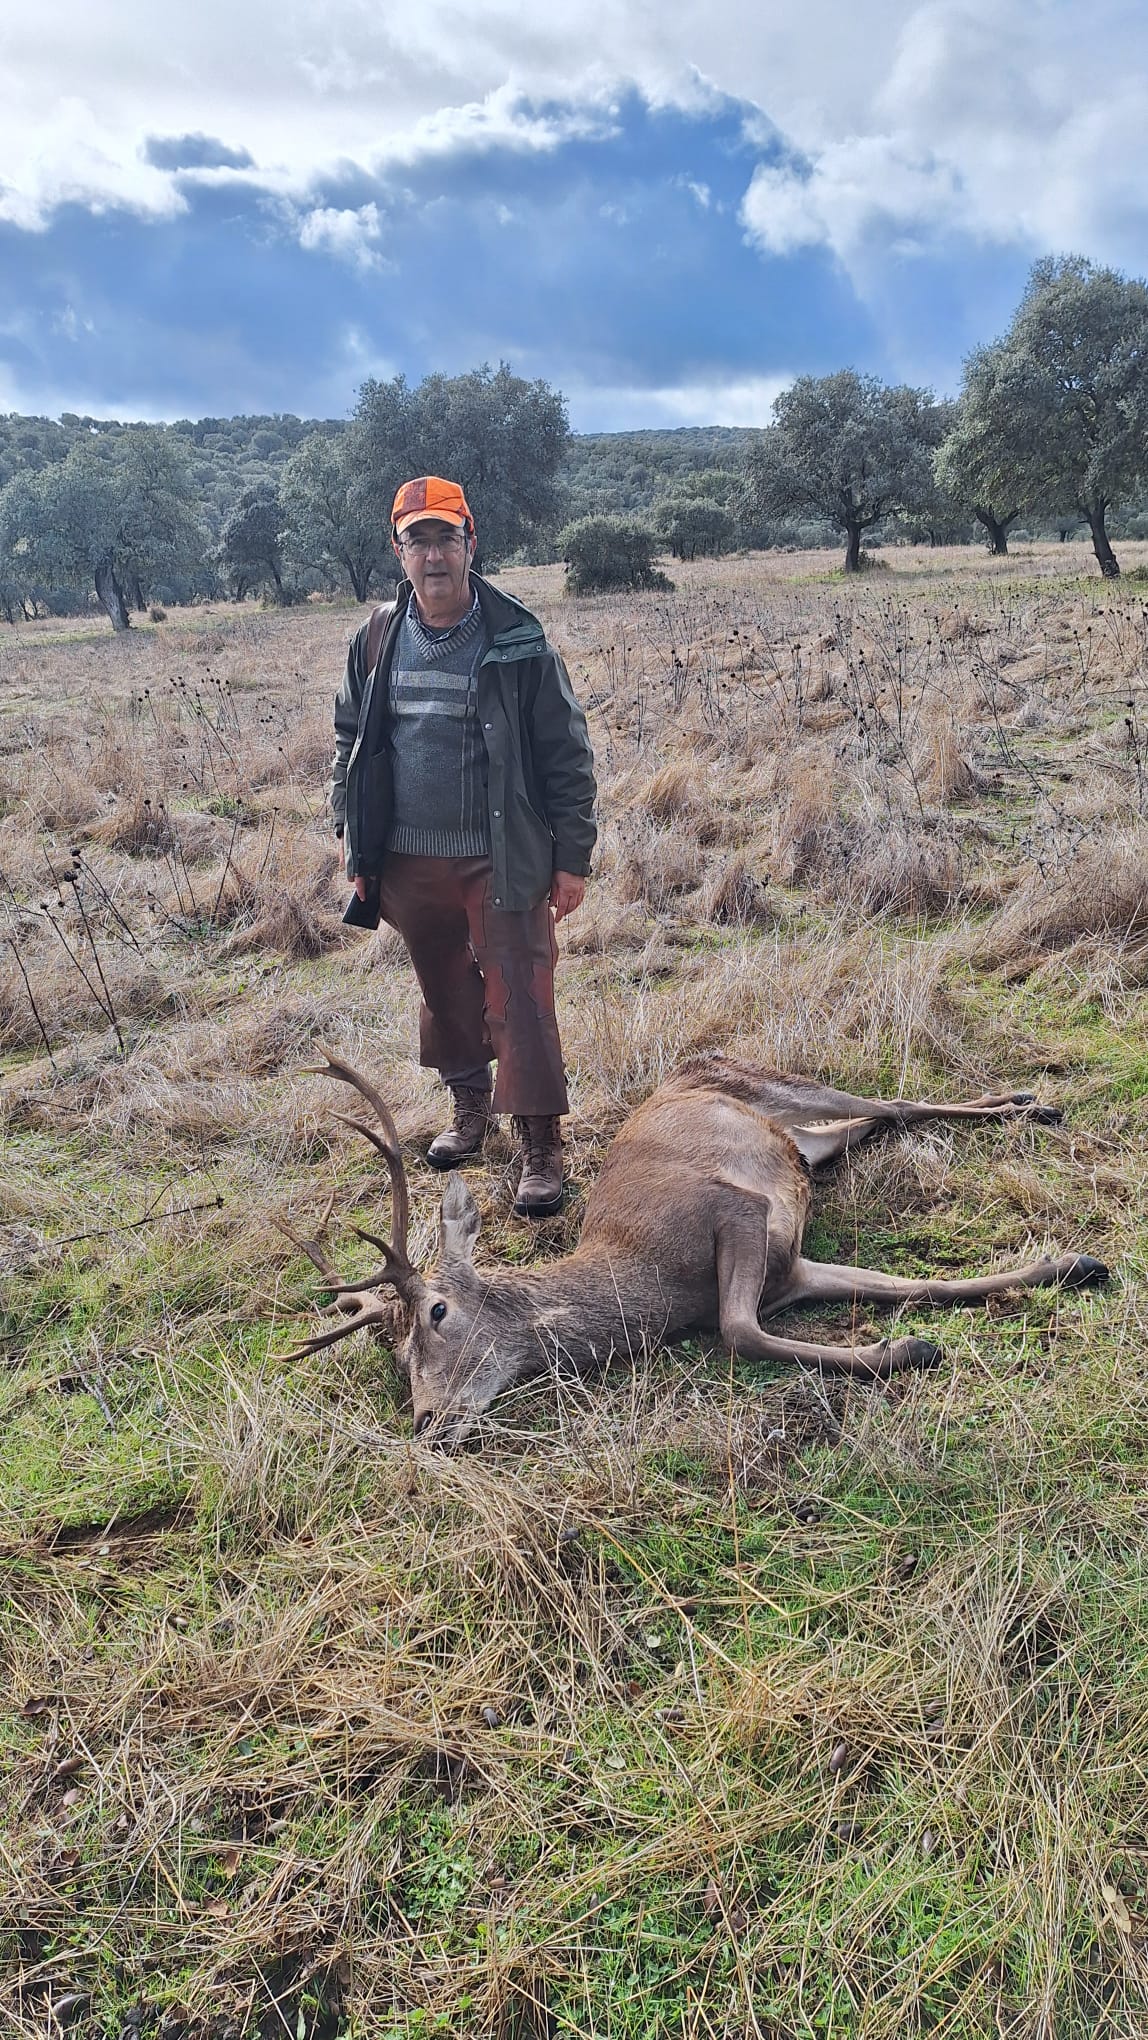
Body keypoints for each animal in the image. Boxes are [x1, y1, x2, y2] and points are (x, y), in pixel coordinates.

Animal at [278, 1048, 1108, 1448]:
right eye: (395, 1358)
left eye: (438, 1314)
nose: (425, 1422)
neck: (653, 1284)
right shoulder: (792, 1271)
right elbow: (914, 1284)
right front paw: (1066, 1265)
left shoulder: (733, 1208)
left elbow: (739, 1331)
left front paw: (909, 1350)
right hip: (815, 1145)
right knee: (876, 1121)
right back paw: (1026, 1107)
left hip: (782, 1084)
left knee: (895, 1098)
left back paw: (1033, 1102)